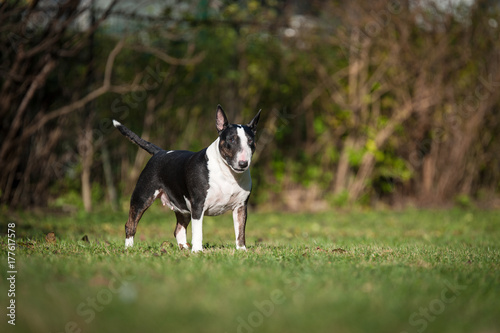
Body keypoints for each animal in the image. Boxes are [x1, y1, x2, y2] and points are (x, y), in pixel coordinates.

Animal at [114, 105, 262, 250]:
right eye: (231, 139)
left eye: (250, 141)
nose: (243, 164)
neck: (228, 173)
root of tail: (160, 152)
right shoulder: (198, 205)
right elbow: (198, 231)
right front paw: (197, 251)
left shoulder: (240, 206)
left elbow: (240, 230)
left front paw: (241, 250)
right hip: (142, 197)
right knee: (130, 224)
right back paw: (129, 248)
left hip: (182, 207)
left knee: (178, 229)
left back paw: (184, 248)